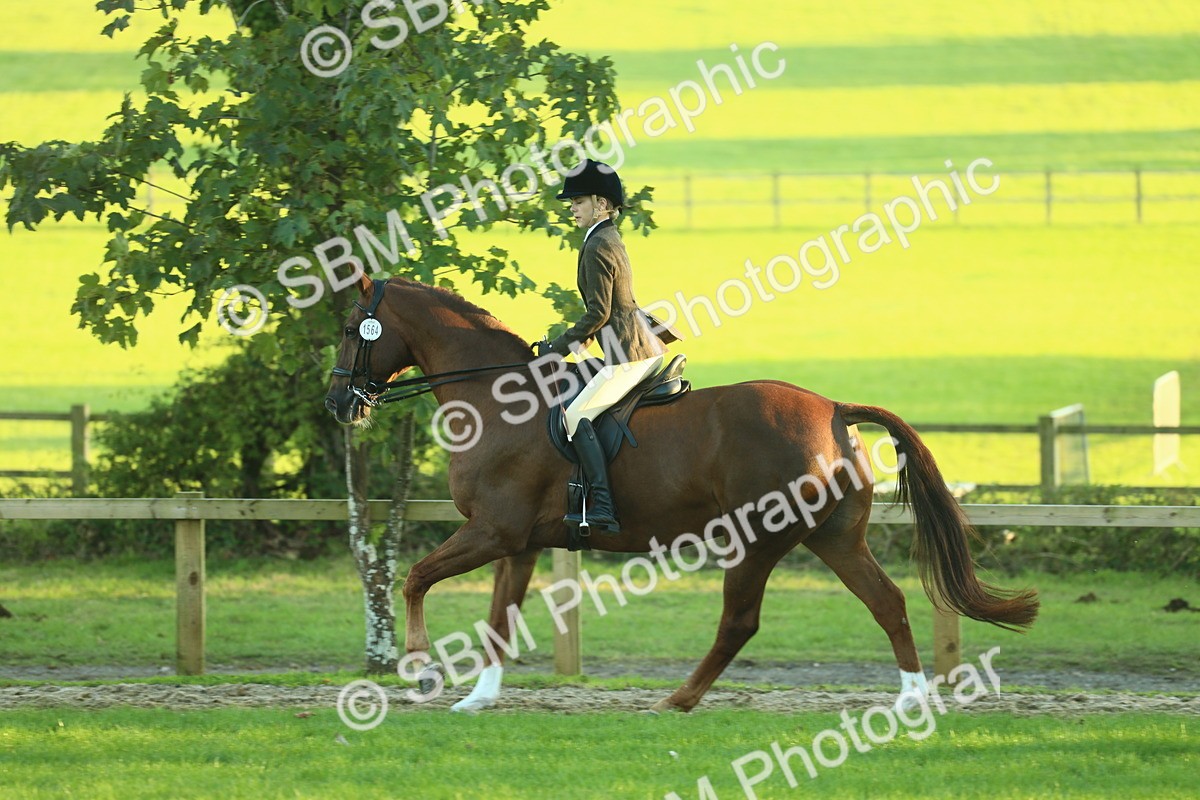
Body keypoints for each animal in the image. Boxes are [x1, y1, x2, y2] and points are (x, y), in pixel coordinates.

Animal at [324, 274, 1038, 713]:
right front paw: (478, 696)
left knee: (741, 621)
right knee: (887, 603)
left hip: (758, 539)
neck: (497, 398)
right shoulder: (517, 541)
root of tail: (834, 409)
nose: (337, 403)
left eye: (355, 327)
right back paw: (910, 700)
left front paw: (420, 666)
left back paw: (678, 699)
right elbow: (500, 617)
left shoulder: (492, 531)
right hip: (834, 538)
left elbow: (415, 578)